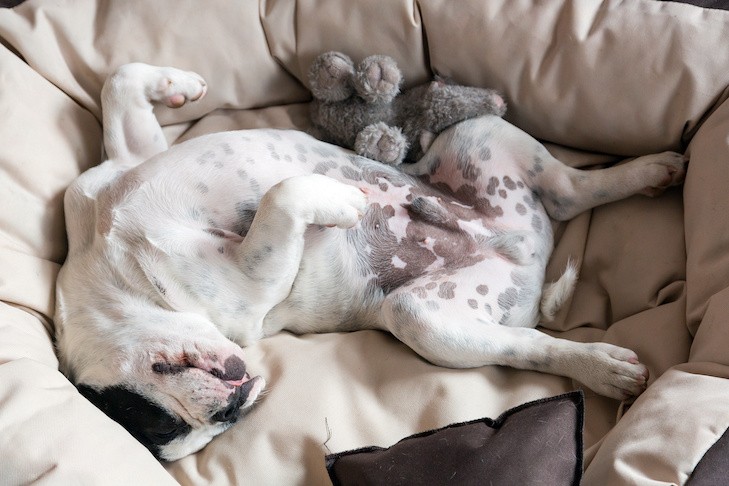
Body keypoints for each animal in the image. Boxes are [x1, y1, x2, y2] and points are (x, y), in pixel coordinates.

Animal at [54, 63, 684, 460]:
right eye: (175, 431)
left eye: (156, 418)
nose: (231, 411)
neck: (111, 283)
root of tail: (523, 253)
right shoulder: (250, 284)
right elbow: (285, 196)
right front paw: (345, 203)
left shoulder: (123, 164)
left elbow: (119, 83)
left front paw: (178, 85)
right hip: (429, 320)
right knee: (532, 334)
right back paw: (602, 365)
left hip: (478, 137)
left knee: (574, 187)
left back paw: (650, 170)